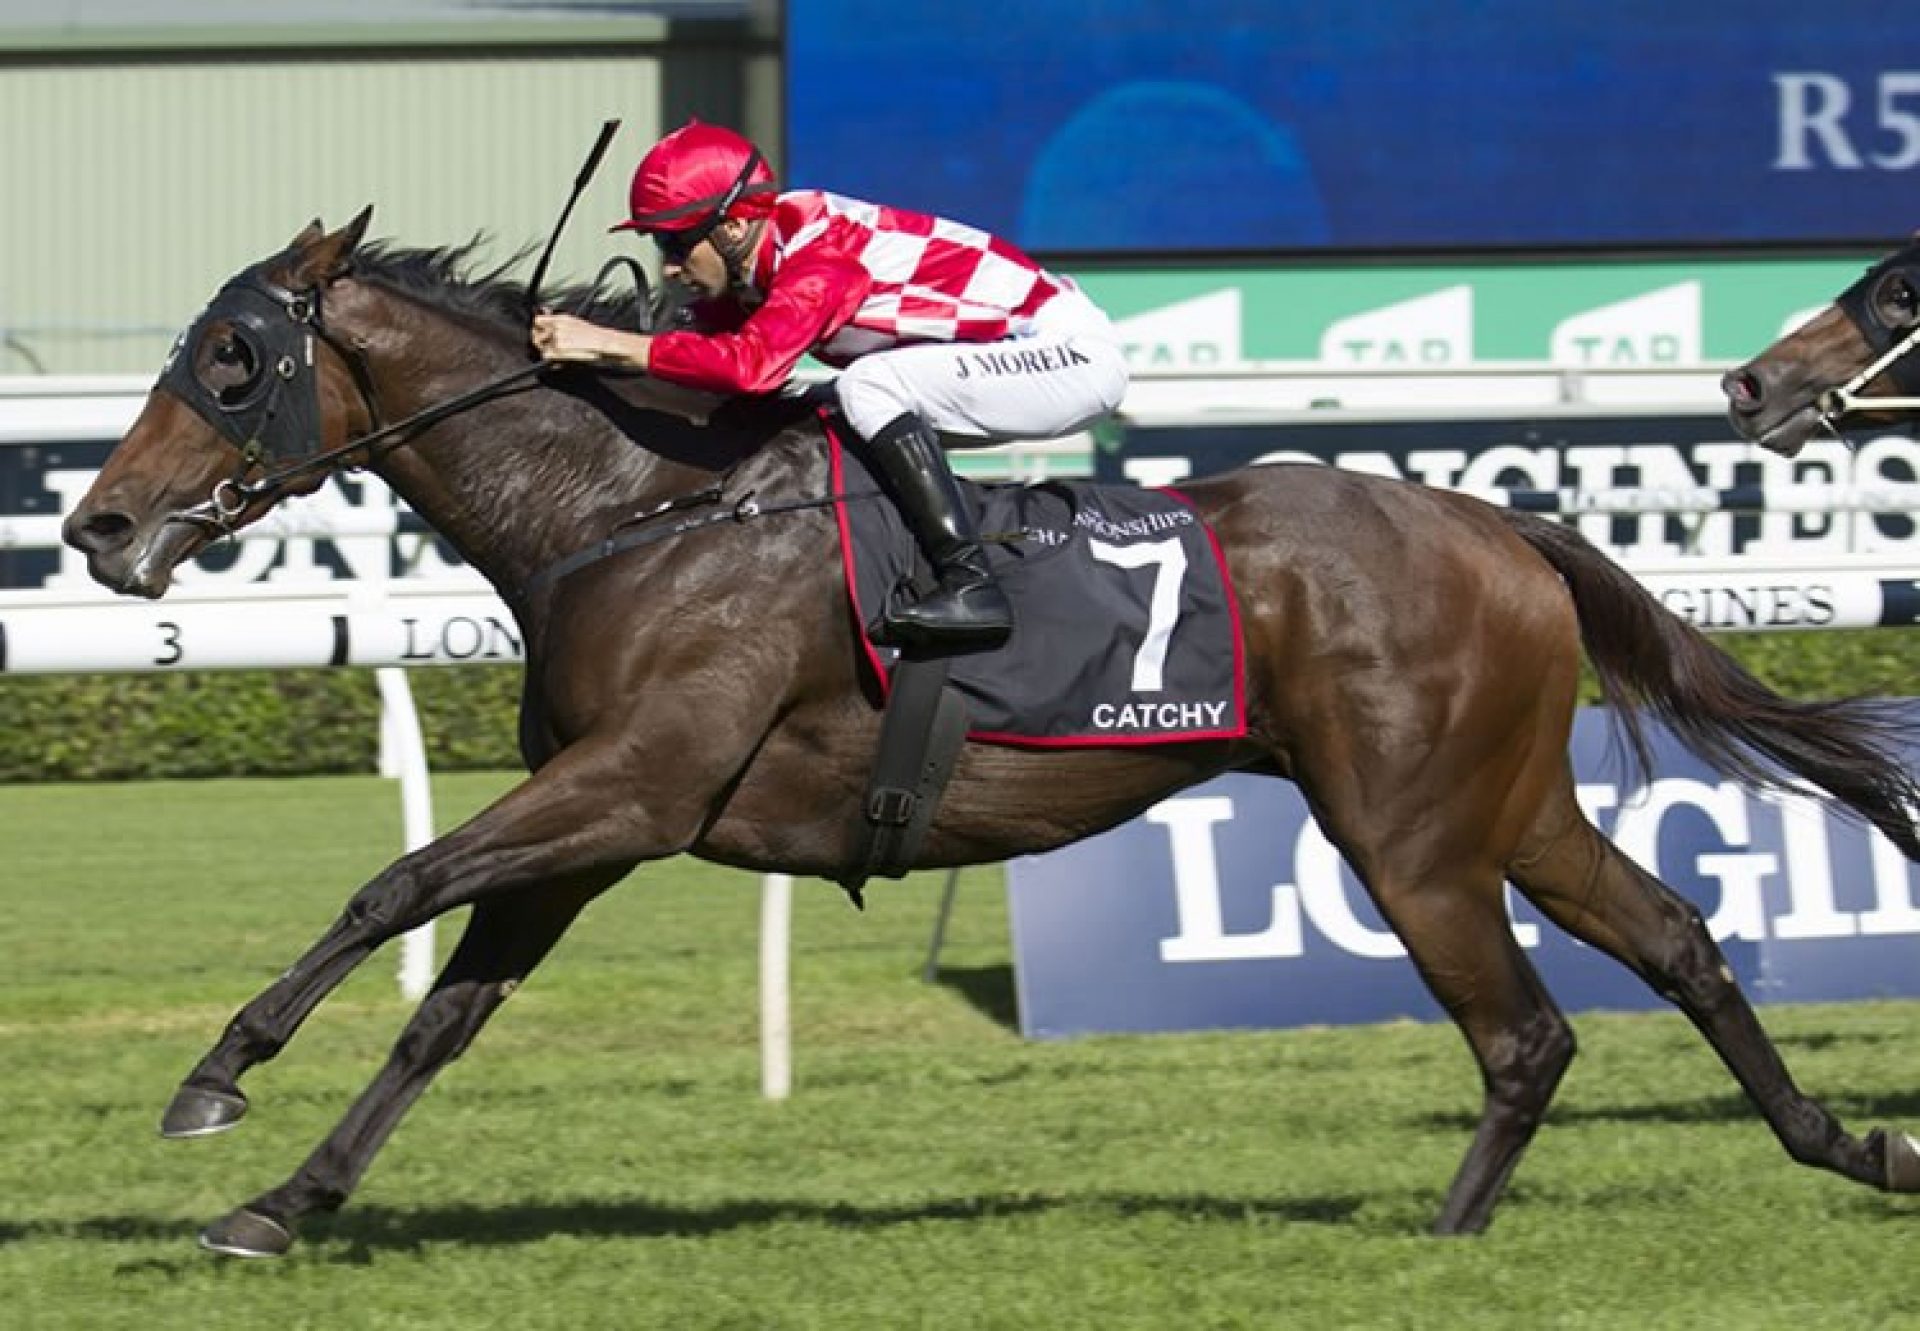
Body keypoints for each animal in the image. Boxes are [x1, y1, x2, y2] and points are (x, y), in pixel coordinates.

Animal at [67, 210, 1920, 1259]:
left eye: (231, 357)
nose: (97, 527)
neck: (637, 502)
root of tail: (1497, 523)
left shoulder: (632, 788)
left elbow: (391, 888)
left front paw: (215, 1079)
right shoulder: (599, 817)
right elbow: (442, 1011)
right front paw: (283, 1200)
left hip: (1408, 830)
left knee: (1528, 1030)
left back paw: (1446, 1244)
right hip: (1505, 805)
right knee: (1678, 940)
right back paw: (1854, 1145)